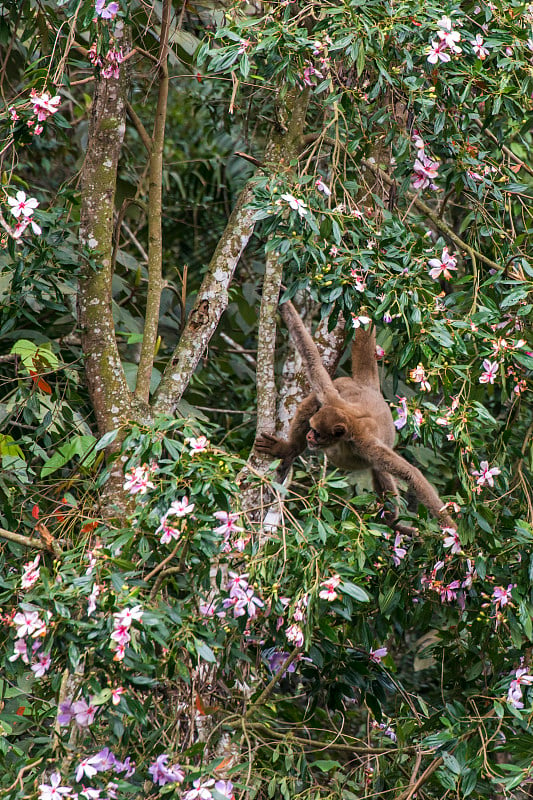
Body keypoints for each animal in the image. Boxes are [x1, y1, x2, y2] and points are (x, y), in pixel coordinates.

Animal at [256, 300, 456, 532]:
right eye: (312, 430)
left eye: (317, 433)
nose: (309, 437)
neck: (347, 428)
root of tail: (369, 388)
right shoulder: (332, 400)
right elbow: (312, 361)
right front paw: (283, 301)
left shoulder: (364, 443)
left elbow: (411, 475)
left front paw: (452, 533)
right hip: (342, 388)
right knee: (314, 399)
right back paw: (290, 450)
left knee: (380, 470)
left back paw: (394, 525)